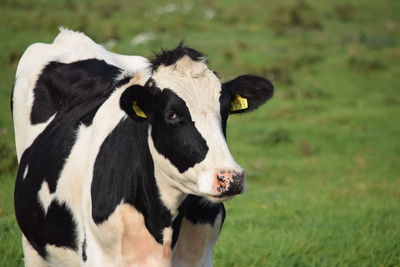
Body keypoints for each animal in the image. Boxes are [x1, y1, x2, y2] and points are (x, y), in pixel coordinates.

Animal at [13, 28, 276, 266]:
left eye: (225, 111)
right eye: (172, 114)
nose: (230, 178)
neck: (164, 227)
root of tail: (68, 36)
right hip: (33, 246)